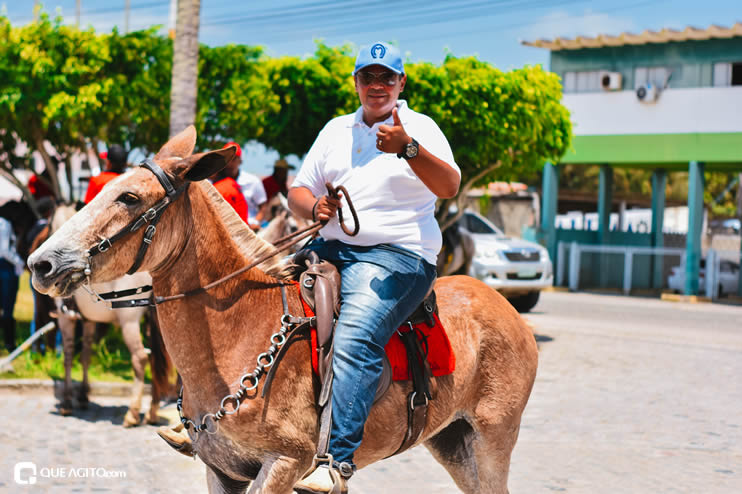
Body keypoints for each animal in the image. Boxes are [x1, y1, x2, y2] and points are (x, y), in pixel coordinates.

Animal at [36, 204, 172, 426]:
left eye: (48, 225)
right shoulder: (89, 321)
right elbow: (85, 356)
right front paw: (83, 396)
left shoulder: (66, 320)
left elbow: (68, 357)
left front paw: (67, 402)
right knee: (155, 359)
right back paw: (152, 412)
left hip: (129, 322)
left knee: (140, 358)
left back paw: (133, 413)